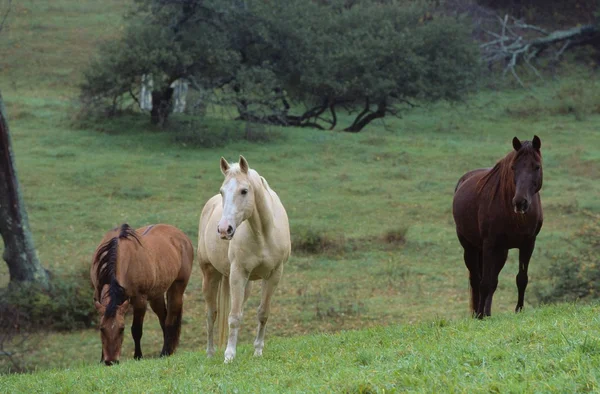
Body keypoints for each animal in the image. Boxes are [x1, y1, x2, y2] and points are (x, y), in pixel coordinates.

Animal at [90, 223, 193, 364]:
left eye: (122, 329)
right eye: (101, 329)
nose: (111, 361)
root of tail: (182, 236)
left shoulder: (140, 301)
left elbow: (136, 330)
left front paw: (138, 356)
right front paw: (101, 359)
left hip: (177, 286)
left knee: (170, 318)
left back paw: (165, 352)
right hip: (156, 295)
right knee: (163, 318)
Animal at [197, 155, 290, 364]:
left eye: (244, 191)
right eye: (222, 191)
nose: (224, 229)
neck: (263, 233)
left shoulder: (274, 274)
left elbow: (263, 313)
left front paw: (258, 351)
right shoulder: (238, 273)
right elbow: (234, 317)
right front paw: (229, 356)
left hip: (246, 284)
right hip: (210, 274)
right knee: (211, 314)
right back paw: (210, 353)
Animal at [454, 135, 544, 318]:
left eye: (536, 166)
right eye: (513, 167)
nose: (520, 202)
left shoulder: (528, 244)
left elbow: (521, 279)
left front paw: (519, 310)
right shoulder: (489, 244)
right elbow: (484, 283)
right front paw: (480, 316)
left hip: (501, 252)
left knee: (493, 280)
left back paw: (487, 312)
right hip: (471, 248)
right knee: (476, 280)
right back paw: (478, 313)